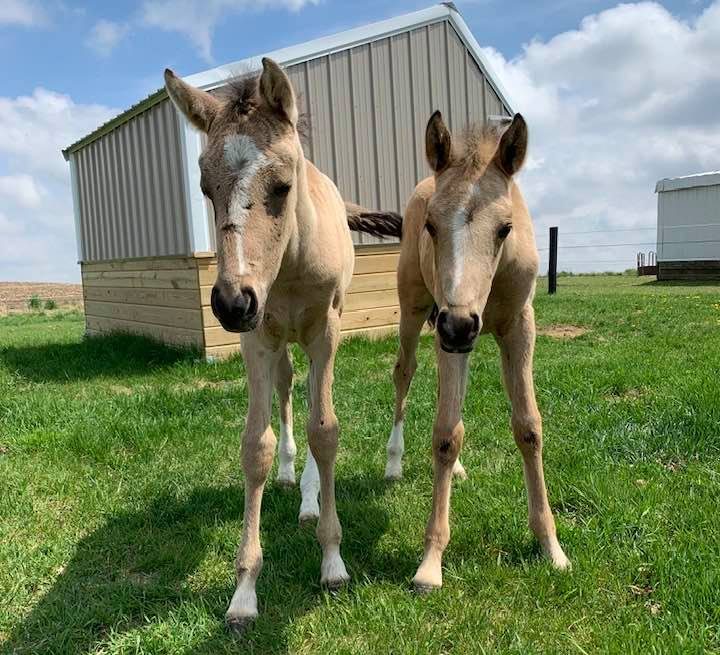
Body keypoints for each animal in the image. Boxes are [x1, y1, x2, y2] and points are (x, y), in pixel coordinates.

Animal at [165, 61, 400, 632]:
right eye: (205, 187)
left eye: (283, 185)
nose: (231, 302)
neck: (289, 267)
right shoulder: (257, 339)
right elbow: (257, 445)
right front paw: (244, 592)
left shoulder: (327, 332)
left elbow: (327, 431)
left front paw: (333, 560)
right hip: (280, 343)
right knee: (289, 389)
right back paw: (295, 478)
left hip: (315, 340)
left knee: (314, 402)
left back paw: (312, 500)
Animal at [386, 110, 572, 592]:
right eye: (432, 226)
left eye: (504, 228)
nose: (460, 325)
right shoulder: (447, 332)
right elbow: (446, 434)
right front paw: (430, 563)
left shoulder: (520, 327)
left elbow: (528, 428)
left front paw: (552, 547)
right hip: (417, 312)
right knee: (404, 372)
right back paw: (394, 462)